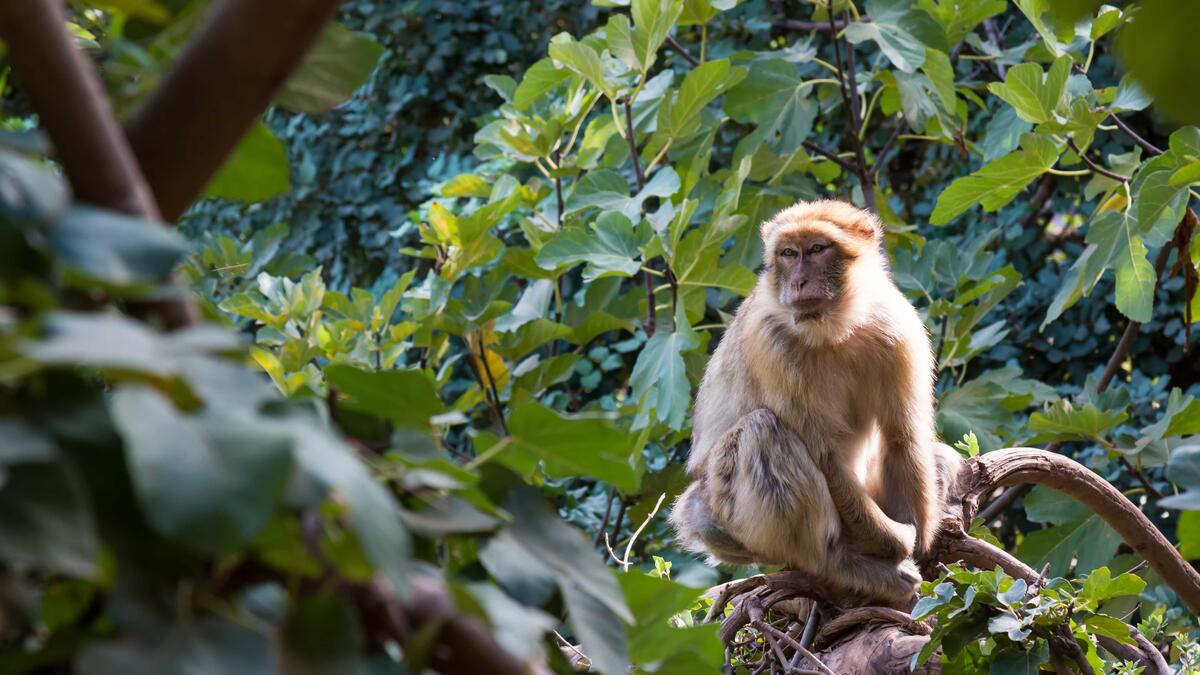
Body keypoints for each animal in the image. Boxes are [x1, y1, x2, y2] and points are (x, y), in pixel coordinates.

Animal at [669, 200, 960, 605]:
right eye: (789, 254)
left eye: (817, 249)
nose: (798, 282)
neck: (835, 329)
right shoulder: (771, 341)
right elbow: (826, 456)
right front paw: (899, 543)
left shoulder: (897, 327)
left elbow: (902, 437)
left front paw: (921, 546)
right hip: (728, 518)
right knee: (763, 432)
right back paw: (843, 564)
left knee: (939, 457)